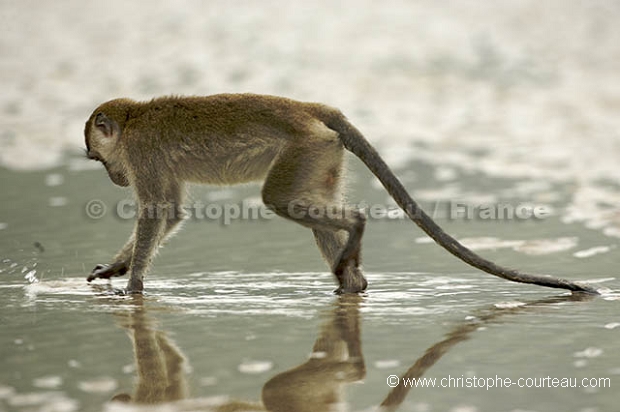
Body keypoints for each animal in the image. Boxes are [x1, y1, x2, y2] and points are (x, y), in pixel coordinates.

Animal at [85, 95, 600, 294]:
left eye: (95, 157)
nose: (112, 177)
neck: (133, 120)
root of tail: (309, 108)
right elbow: (170, 213)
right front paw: (118, 270)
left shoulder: (143, 153)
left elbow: (160, 211)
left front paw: (133, 286)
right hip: (322, 153)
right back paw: (353, 283)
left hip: (305, 147)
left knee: (283, 200)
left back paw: (355, 232)